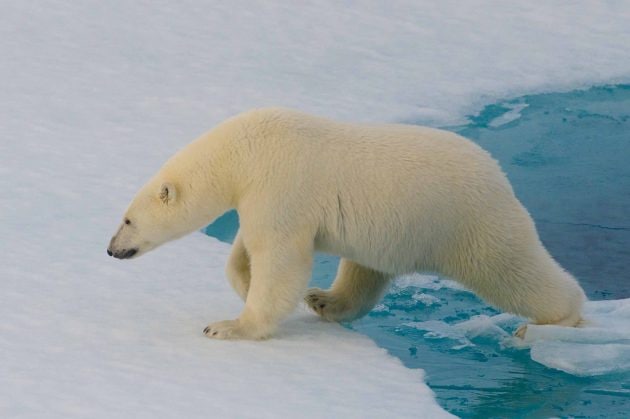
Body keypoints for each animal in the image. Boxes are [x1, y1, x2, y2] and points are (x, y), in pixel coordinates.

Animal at [107, 107, 588, 342]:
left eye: (127, 219)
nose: (111, 249)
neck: (243, 151)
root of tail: (499, 175)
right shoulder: (260, 192)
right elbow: (247, 249)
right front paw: (248, 287)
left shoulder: (281, 181)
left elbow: (279, 255)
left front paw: (229, 326)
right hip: (395, 228)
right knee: (364, 271)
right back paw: (325, 300)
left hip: (466, 221)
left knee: (513, 271)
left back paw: (556, 321)